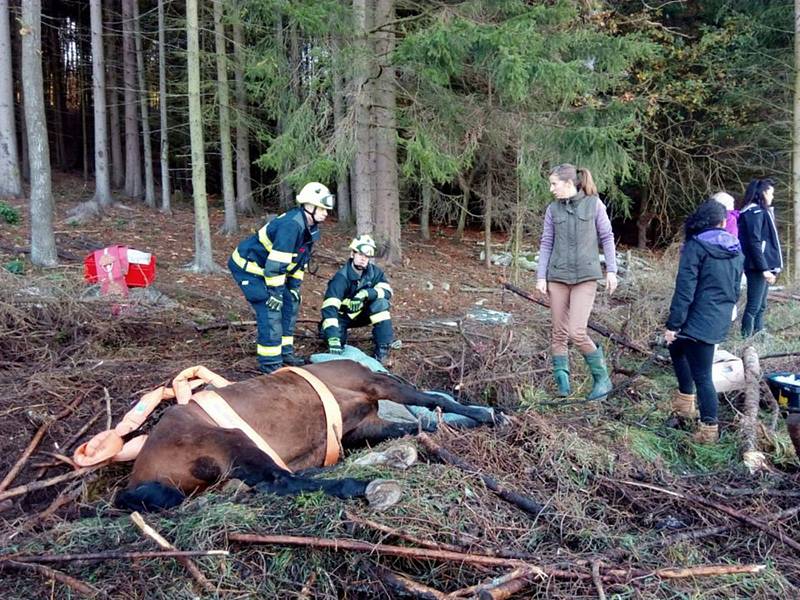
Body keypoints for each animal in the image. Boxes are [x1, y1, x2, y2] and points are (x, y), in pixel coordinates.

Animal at [115, 358, 496, 512]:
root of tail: (138, 479)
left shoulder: (361, 427)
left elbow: (418, 426)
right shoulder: (375, 383)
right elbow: (432, 400)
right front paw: (487, 414)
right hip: (229, 437)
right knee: (279, 481)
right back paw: (360, 485)